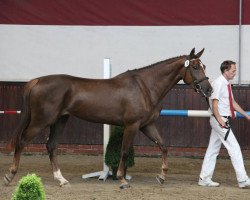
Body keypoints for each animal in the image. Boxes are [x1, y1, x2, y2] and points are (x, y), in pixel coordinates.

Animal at [3, 48, 211, 189]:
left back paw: (61, 180)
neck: (145, 87)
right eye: (194, 66)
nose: (208, 90)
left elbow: (164, 146)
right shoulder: (132, 125)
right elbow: (124, 151)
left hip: (60, 120)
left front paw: (162, 176)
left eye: (204, 66)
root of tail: (37, 80)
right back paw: (10, 176)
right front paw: (121, 179)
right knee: (22, 141)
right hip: (41, 121)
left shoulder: (147, 125)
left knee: (51, 146)